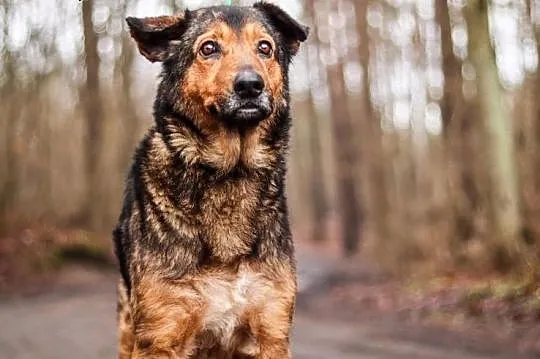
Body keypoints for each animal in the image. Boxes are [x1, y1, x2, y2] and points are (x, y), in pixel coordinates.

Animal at [114, 3, 308, 359]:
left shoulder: (272, 332)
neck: (230, 171)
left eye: (265, 47)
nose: (250, 85)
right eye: (208, 48)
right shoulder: (159, 337)